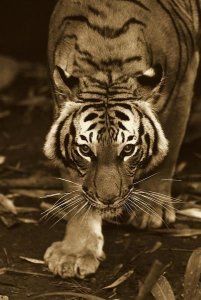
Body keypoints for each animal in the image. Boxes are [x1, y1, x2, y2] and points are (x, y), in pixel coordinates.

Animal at [42, 0, 199, 278]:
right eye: (85, 150)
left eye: (128, 150)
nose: (108, 199)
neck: (107, 64)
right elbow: (76, 189)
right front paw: (74, 253)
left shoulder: (184, 82)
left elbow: (166, 153)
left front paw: (152, 211)